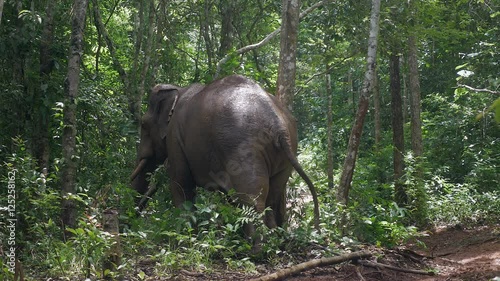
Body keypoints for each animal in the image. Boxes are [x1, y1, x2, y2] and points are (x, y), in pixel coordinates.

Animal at [130, 74, 320, 245]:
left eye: (143, 124)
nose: (133, 216)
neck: (178, 90)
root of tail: (279, 125)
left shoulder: (174, 138)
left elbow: (181, 183)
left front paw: (185, 238)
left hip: (244, 150)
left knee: (251, 197)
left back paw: (257, 249)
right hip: (285, 157)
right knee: (272, 194)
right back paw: (276, 242)